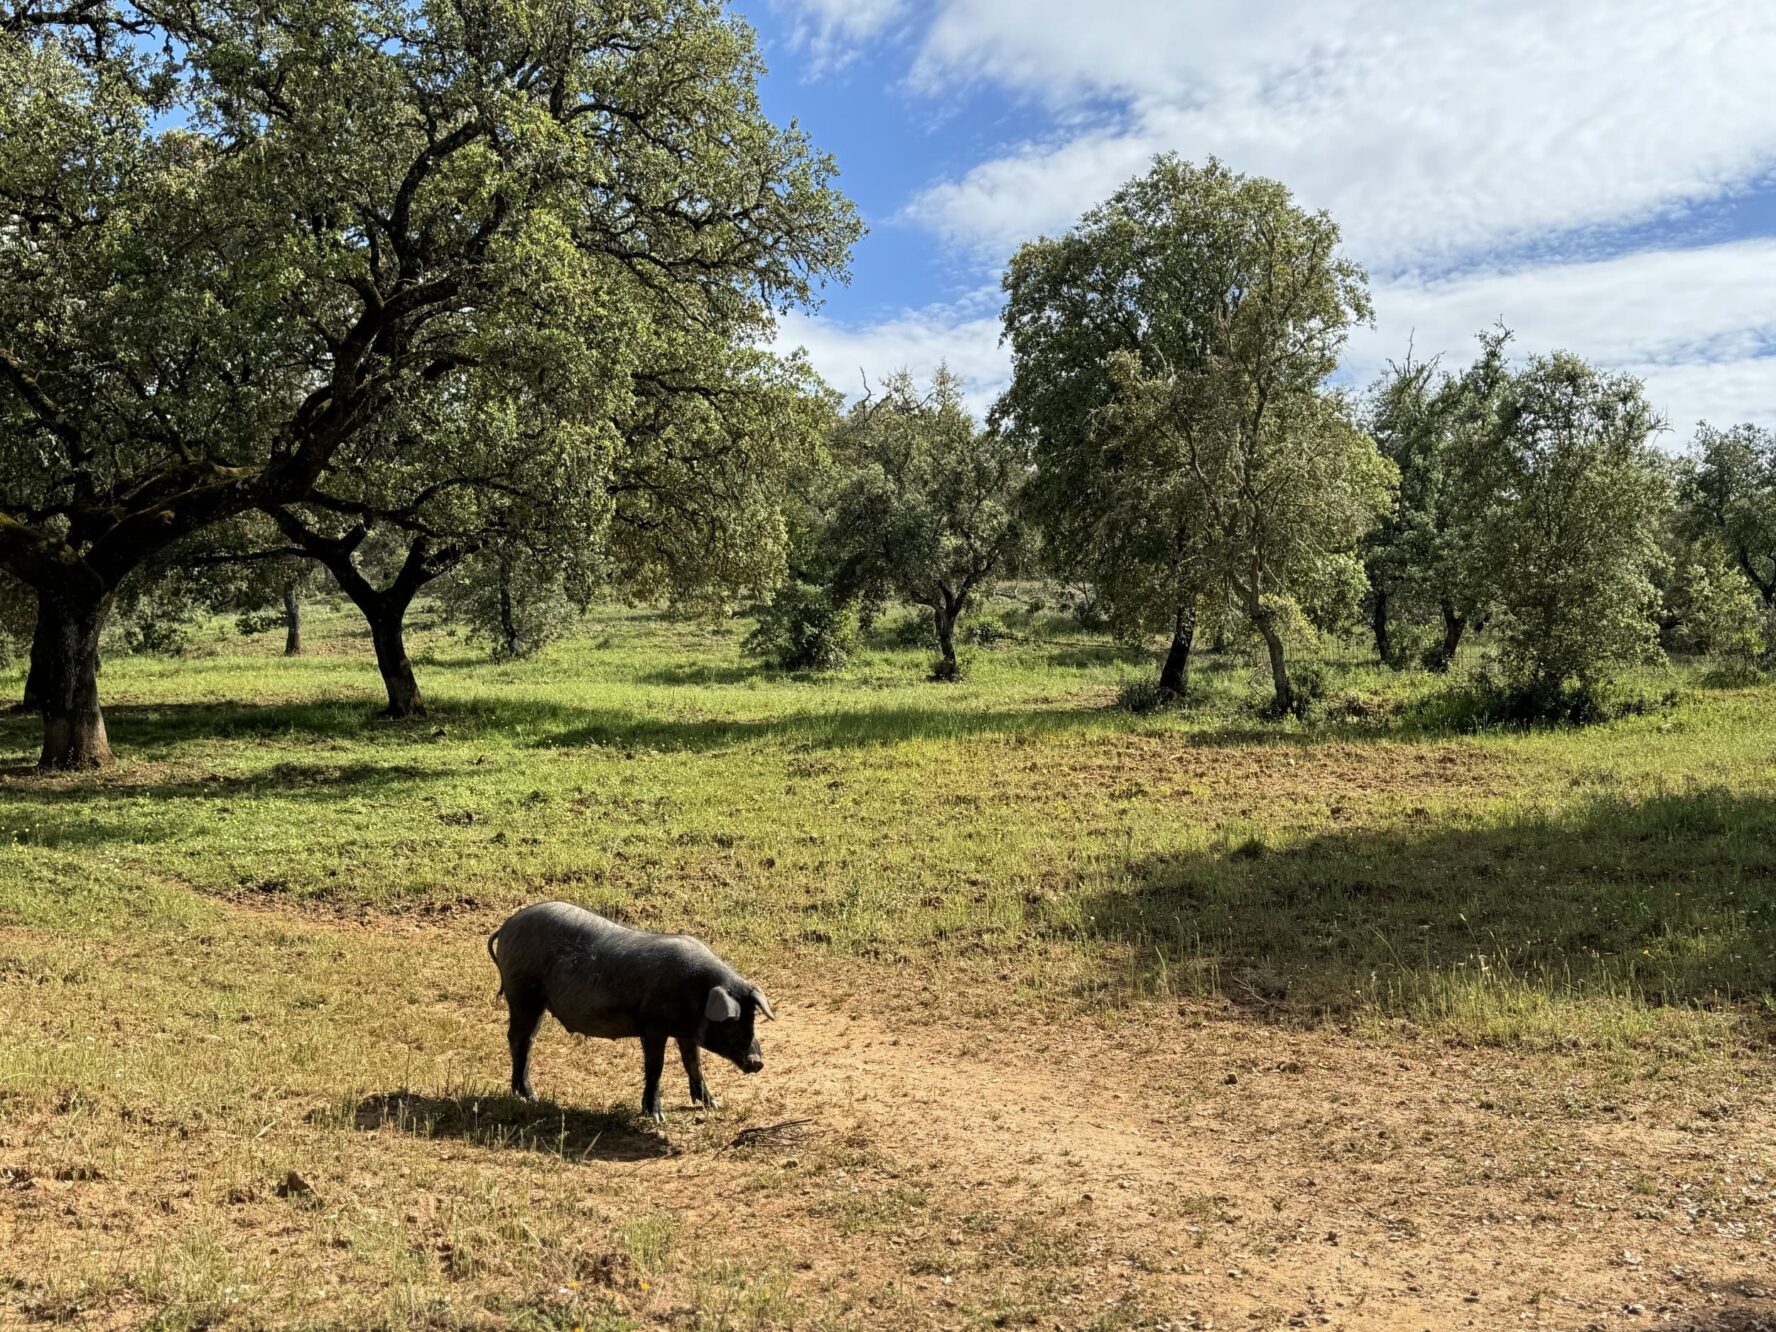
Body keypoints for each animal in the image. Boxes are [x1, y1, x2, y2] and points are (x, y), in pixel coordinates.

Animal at [486, 901, 774, 1122]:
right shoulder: (653, 1026)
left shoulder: (686, 1032)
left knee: (526, 1039)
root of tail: (507, 925)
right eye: (732, 1022)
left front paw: (714, 1104)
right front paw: (657, 1117)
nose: (757, 1062)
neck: (696, 991)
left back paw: (526, 1095)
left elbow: (693, 1063)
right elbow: (655, 1066)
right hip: (521, 992)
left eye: (752, 1018)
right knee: (518, 1038)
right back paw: (529, 1097)